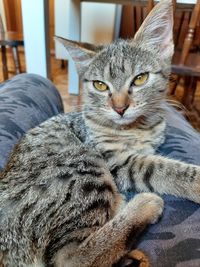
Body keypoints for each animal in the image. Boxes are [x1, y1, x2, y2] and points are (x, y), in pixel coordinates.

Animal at [0, 0, 200, 266]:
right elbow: (161, 167)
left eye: (140, 78)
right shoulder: (115, 160)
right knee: (71, 258)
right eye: (100, 85)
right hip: (81, 162)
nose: (120, 108)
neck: (137, 126)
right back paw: (143, 205)